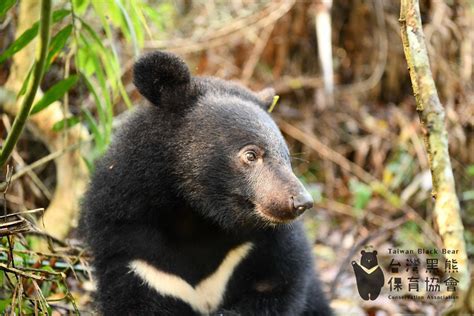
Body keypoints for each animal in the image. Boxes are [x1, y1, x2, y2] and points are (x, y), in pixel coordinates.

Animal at [79, 50, 332, 314]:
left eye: (287, 157)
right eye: (251, 155)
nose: (301, 202)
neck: (195, 217)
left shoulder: (262, 247)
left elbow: (278, 285)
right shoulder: (135, 252)